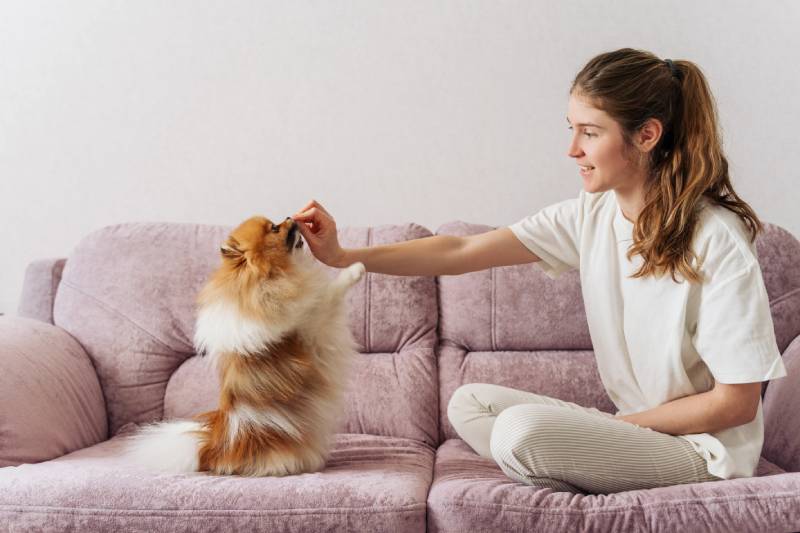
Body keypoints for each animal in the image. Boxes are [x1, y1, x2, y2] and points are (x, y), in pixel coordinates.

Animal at [123, 214, 368, 476]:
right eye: (274, 228)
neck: (272, 276)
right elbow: (330, 293)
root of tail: (212, 449)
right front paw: (355, 269)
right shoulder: (310, 326)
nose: (291, 217)